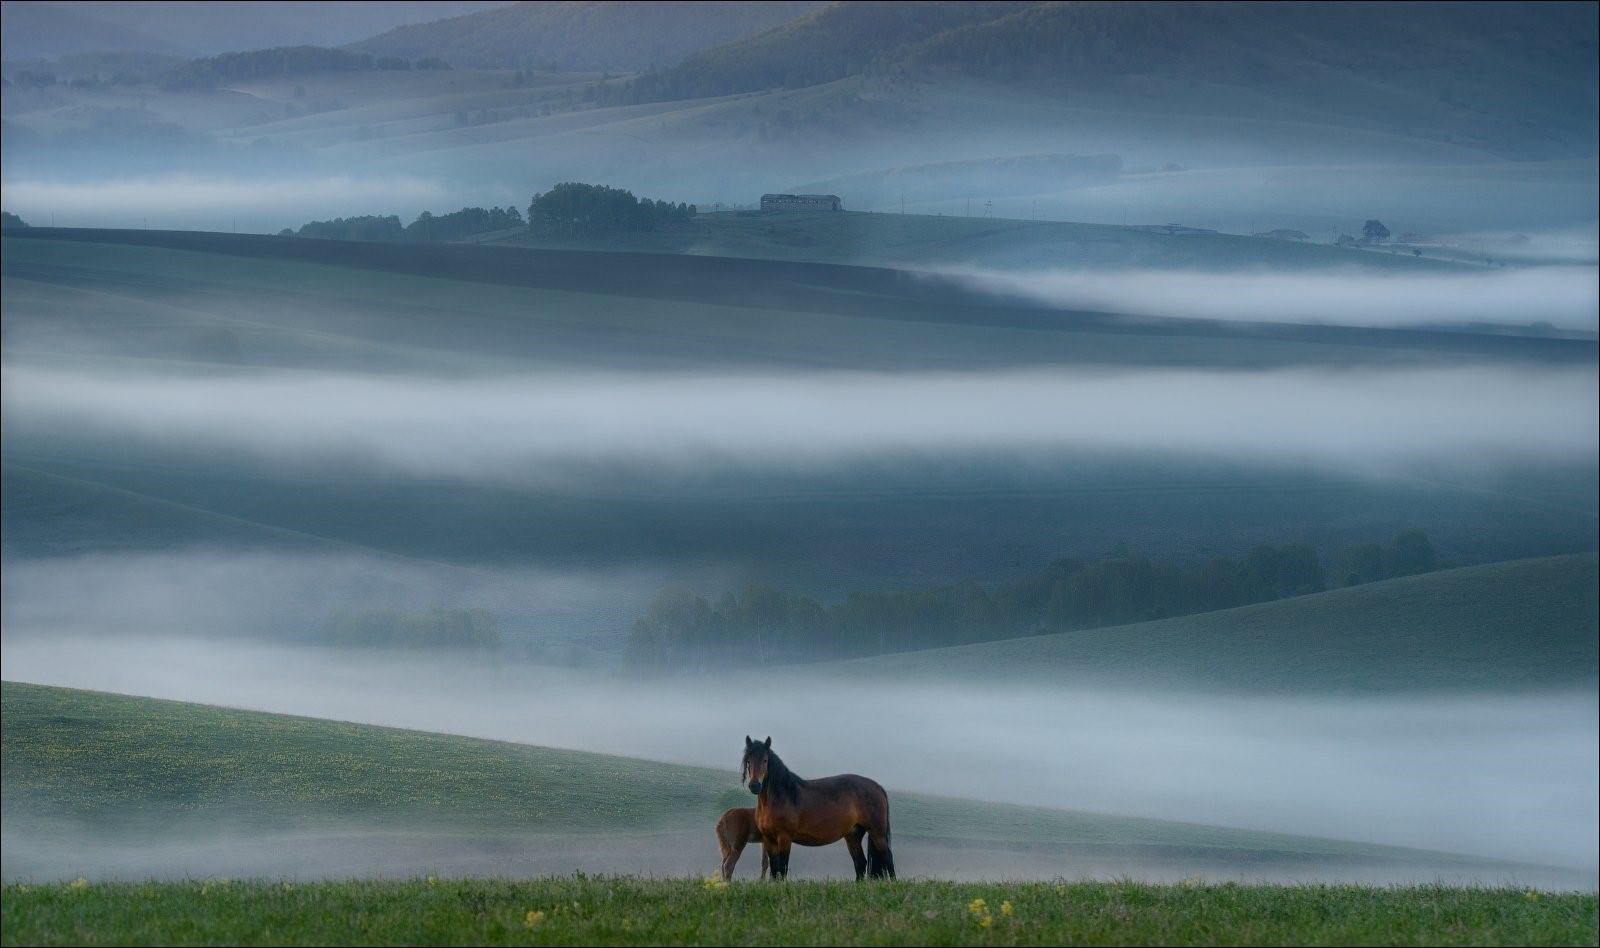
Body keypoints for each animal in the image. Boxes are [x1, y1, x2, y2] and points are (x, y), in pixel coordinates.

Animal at [739, 733, 896, 883]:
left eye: (765, 760)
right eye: (748, 761)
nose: (755, 785)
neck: (781, 796)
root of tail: (877, 786)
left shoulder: (784, 838)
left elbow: (782, 869)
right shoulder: (768, 839)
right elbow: (774, 869)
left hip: (877, 833)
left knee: (888, 857)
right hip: (853, 835)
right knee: (860, 863)